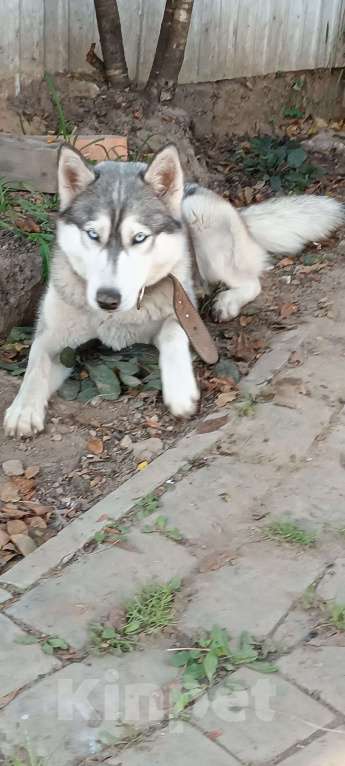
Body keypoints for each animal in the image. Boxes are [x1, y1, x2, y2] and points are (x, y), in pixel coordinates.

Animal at [3, 144, 344, 438]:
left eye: (139, 237)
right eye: (92, 234)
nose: (107, 299)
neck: (119, 317)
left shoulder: (180, 306)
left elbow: (171, 333)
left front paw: (180, 390)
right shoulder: (54, 337)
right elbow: (35, 364)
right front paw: (23, 408)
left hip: (199, 217)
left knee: (251, 280)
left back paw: (227, 300)